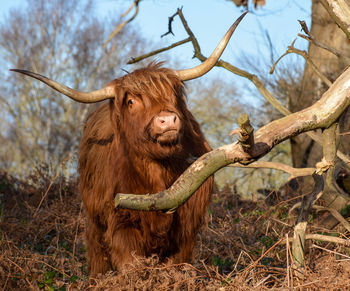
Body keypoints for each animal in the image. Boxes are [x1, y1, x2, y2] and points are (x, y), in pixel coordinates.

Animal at [10, 14, 246, 278]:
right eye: (131, 101)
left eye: (174, 93)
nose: (167, 120)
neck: (159, 172)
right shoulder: (121, 221)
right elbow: (130, 263)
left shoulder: (187, 227)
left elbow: (178, 262)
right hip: (94, 221)